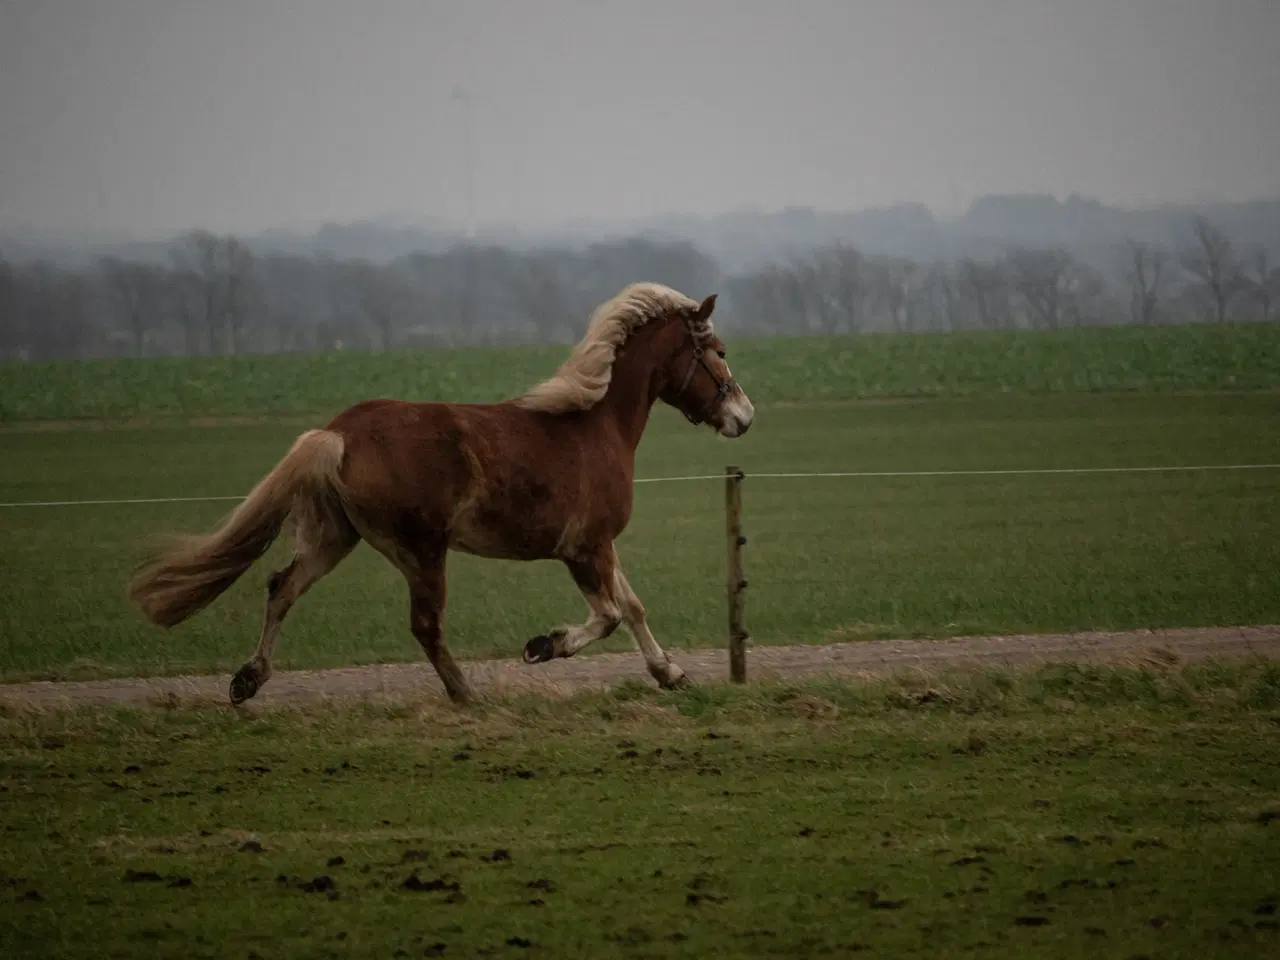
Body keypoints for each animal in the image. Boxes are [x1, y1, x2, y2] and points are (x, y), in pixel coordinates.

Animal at [126, 281, 752, 701]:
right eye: (719, 350)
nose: (744, 416)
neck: (594, 425)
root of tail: (338, 434)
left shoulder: (601, 546)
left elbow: (633, 606)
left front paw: (672, 674)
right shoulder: (583, 549)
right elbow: (609, 616)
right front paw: (541, 646)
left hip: (336, 537)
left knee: (282, 588)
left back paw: (248, 680)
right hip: (422, 551)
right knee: (424, 625)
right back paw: (466, 694)